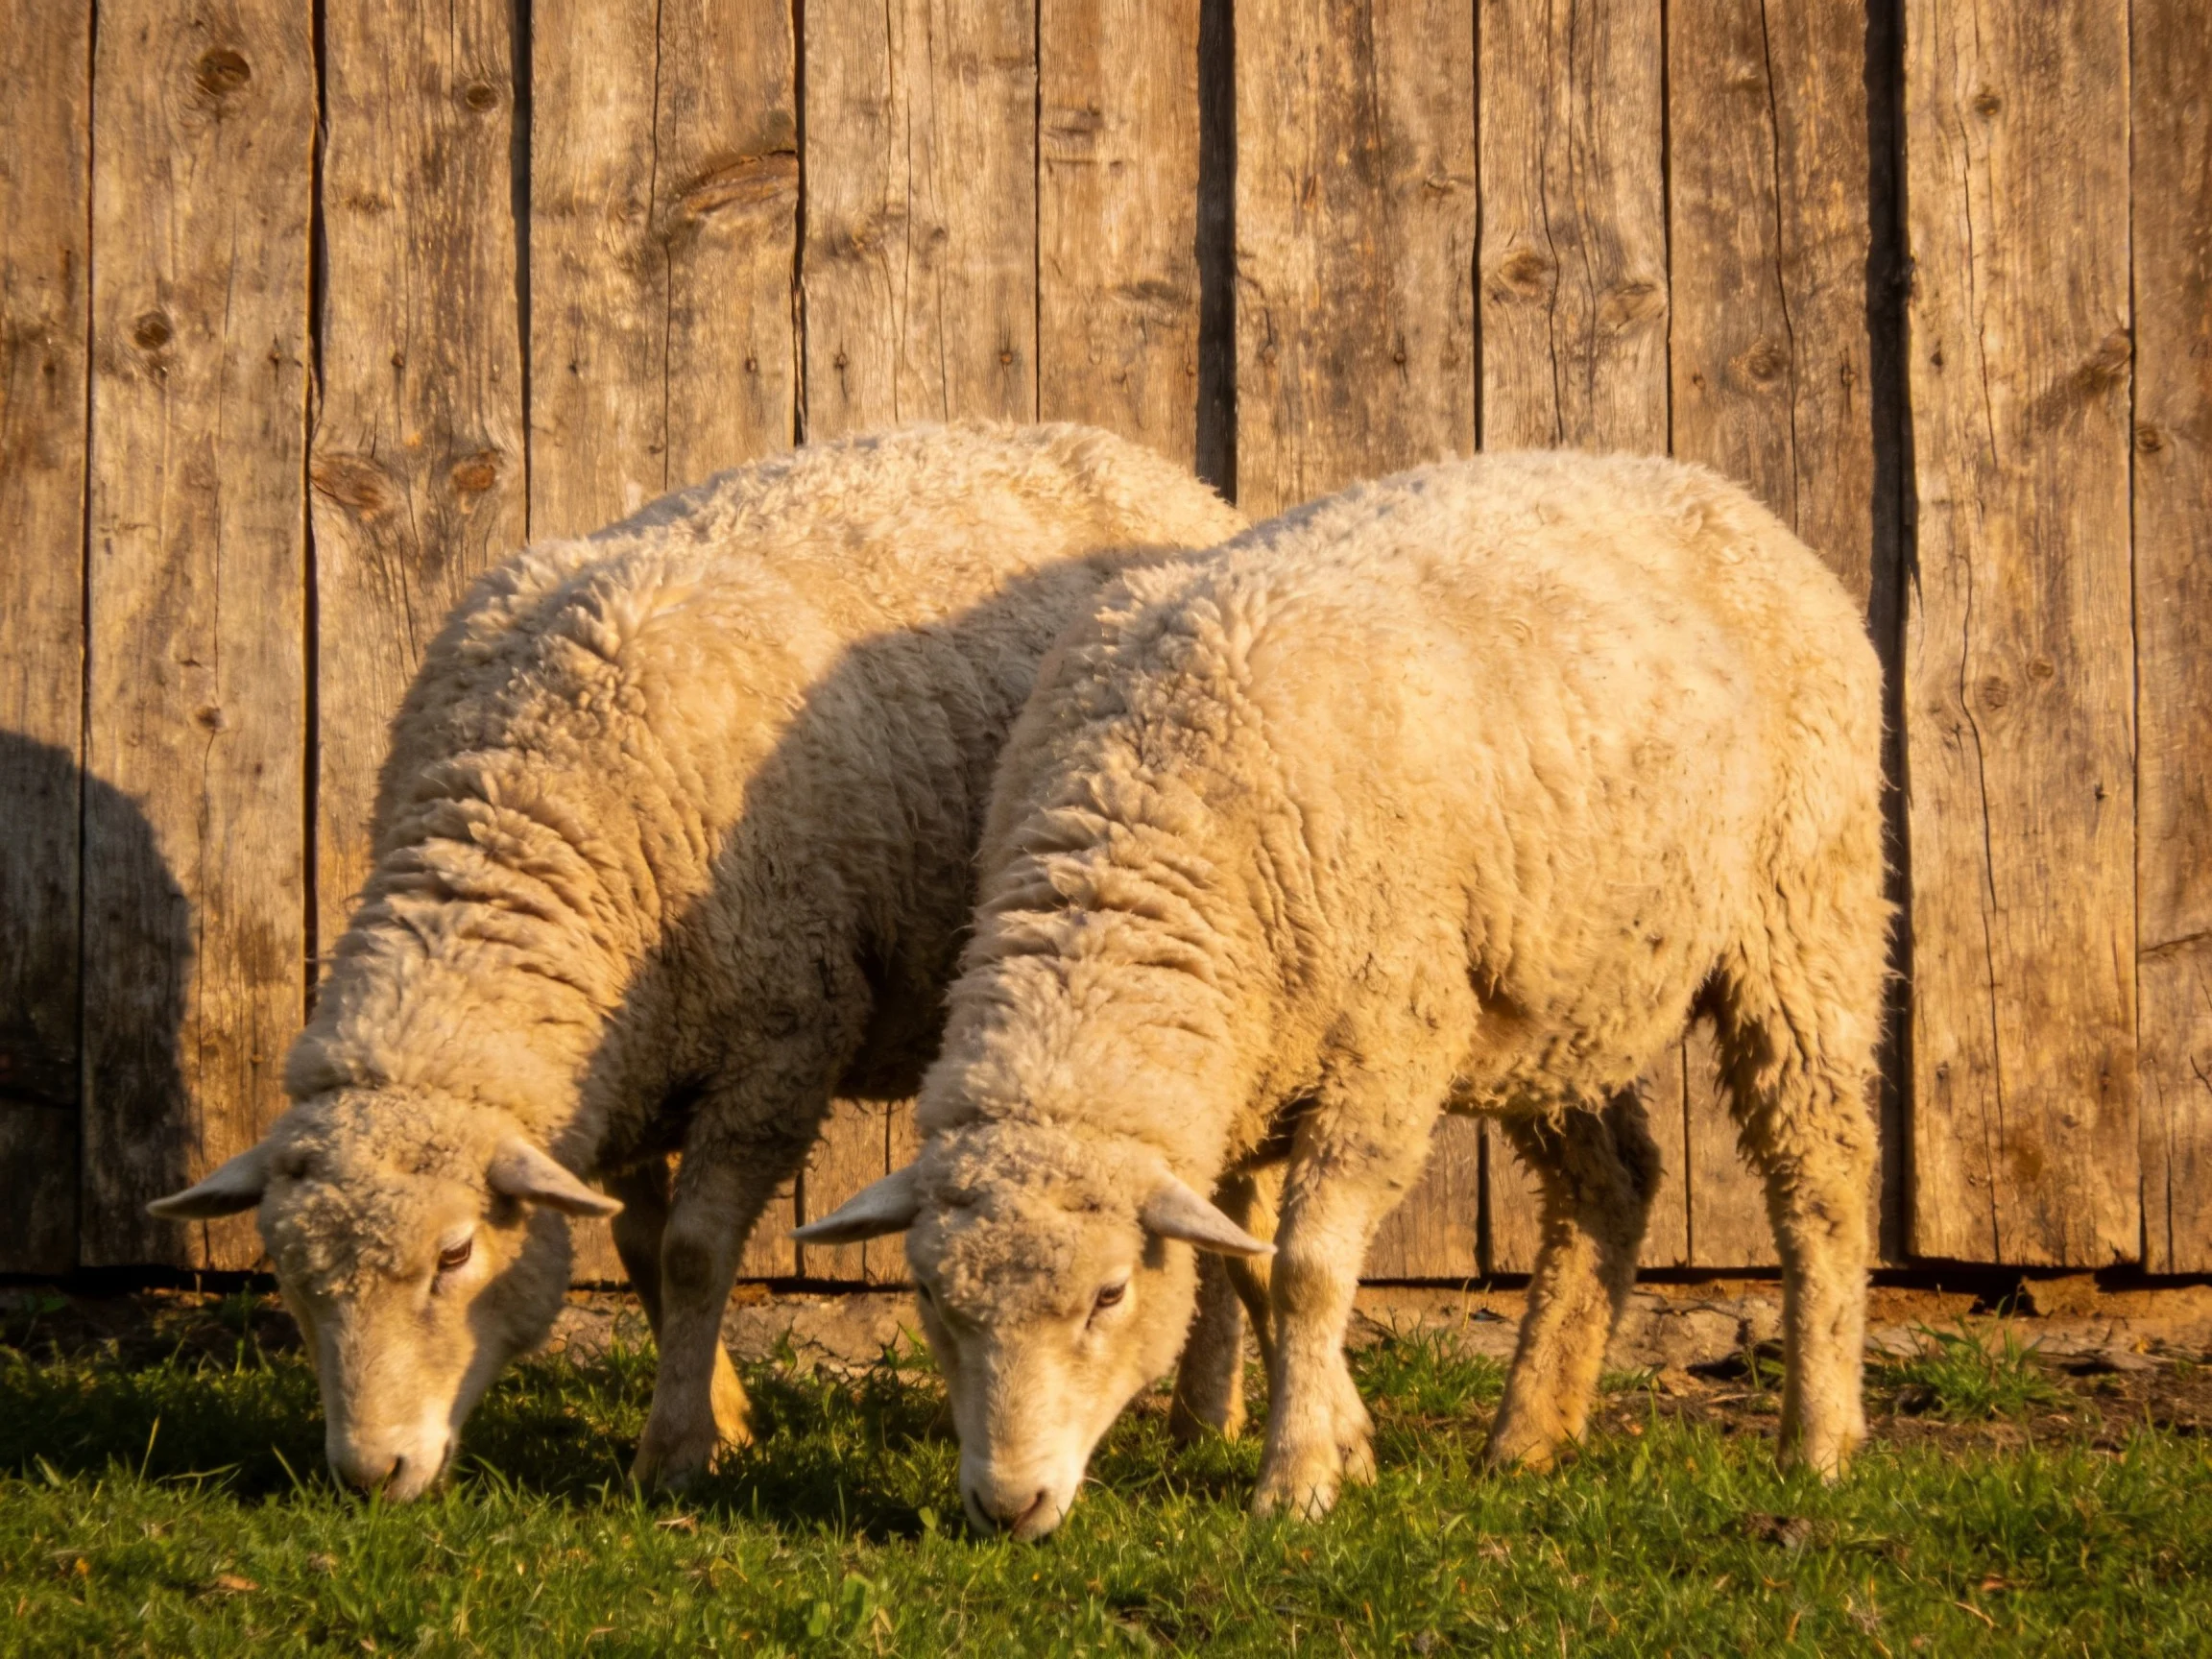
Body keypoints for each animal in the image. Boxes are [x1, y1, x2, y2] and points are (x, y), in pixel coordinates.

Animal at [147, 422, 1246, 1500]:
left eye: (454, 1254)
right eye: (290, 1274)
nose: (371, 1474)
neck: (527, 795)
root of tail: (1124, 450)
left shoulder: (781, 1047)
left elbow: (691, 1251)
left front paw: (675, 1449)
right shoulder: (621, 1067)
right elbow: (637, 1246)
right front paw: (723, 1411)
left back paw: (1215, 1422)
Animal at [797, 449, 1890, 1537]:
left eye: (1108, 1295)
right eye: (931, 1295)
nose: (1007, 1506)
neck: (1149, 809)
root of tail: (1704, 485)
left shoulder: (1386, 1055)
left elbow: (1308, 1269)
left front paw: (1297, 1483)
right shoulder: (1241, 1075)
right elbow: (1248, 1262)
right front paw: (1349, 1442)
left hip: (1805, 911)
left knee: (1822, 1174)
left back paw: (1821, 1444)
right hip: (1559, 994)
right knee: (1611, 1183)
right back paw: (1532, 1437)